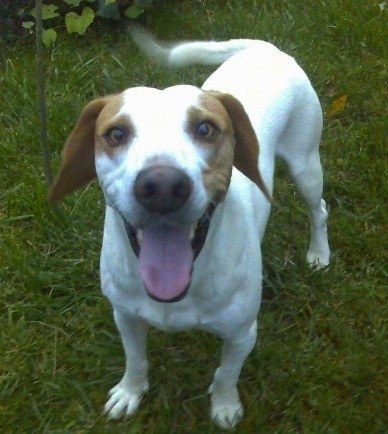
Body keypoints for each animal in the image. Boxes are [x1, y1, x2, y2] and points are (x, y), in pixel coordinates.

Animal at [47, 29, 328, 428]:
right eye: (115, 134)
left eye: (206, 129)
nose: (162, 186)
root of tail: (265, 49)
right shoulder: (125, 316)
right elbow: (135, 360)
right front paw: (130, 393)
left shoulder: (242, 333)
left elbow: (226, 374)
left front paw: (224, 406)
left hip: (305, 165)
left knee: (319, 209)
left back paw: (319, 253)